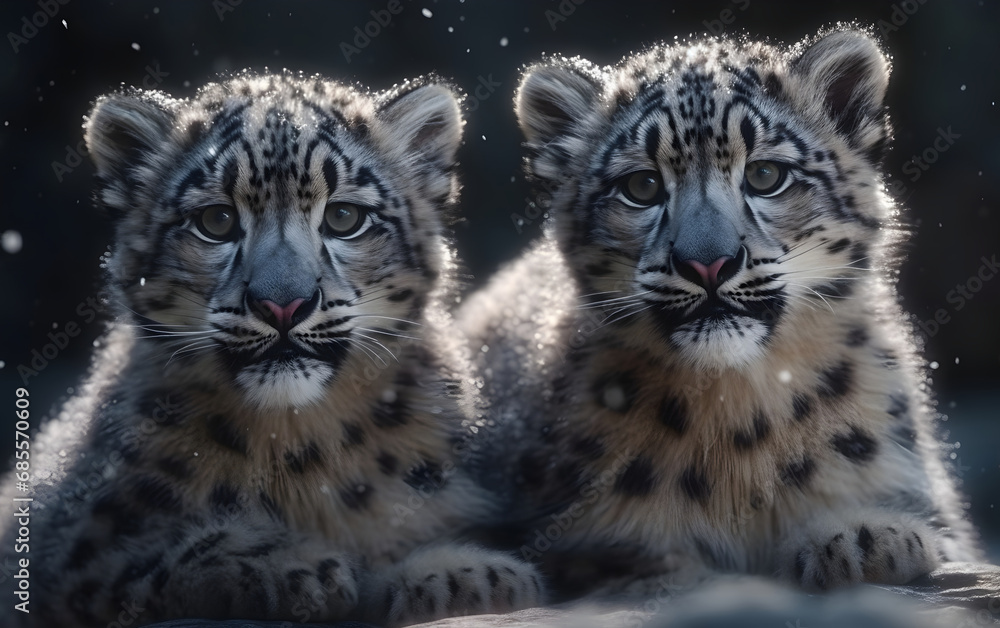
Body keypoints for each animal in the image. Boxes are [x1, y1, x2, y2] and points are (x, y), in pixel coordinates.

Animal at [0, 71, 543, 627]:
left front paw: (466, 573)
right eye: (216, 221)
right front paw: (295, 566)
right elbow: (144, 566)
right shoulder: (67, 560)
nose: (283, 304)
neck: (298, 446)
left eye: (344, 216)